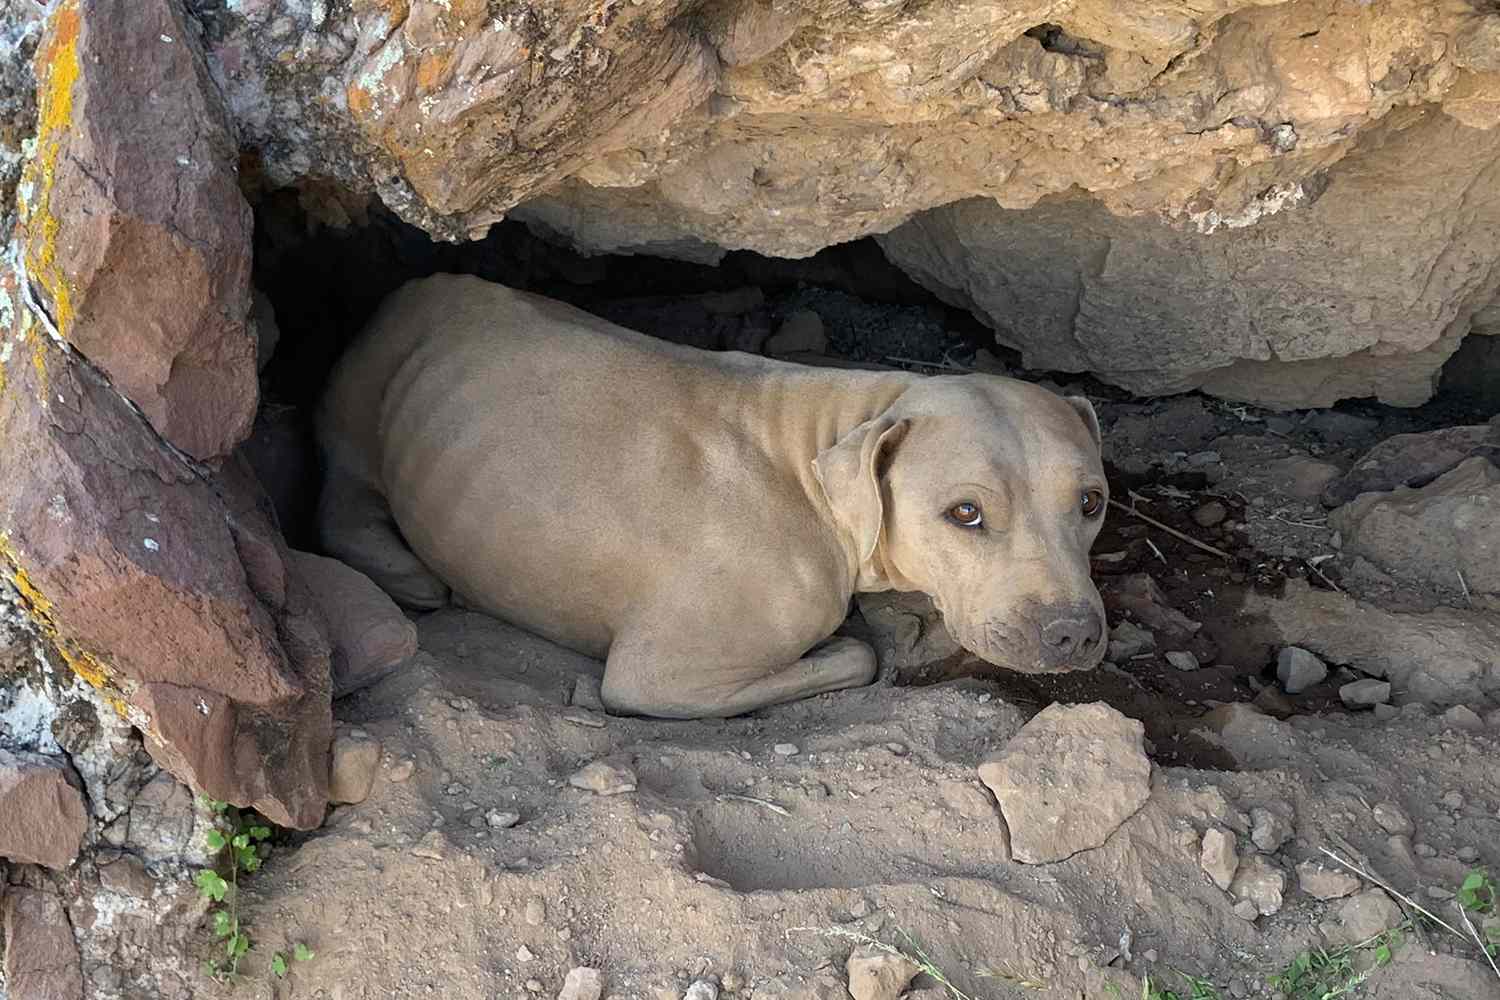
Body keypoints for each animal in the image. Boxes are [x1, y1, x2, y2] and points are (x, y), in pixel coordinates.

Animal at [316, 274, 1110, 719]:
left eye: (1092, 503)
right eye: (965, 513)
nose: (1073, 633)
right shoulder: (659, 676)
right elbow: (854, 657)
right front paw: (852, 643)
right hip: (358, 416)